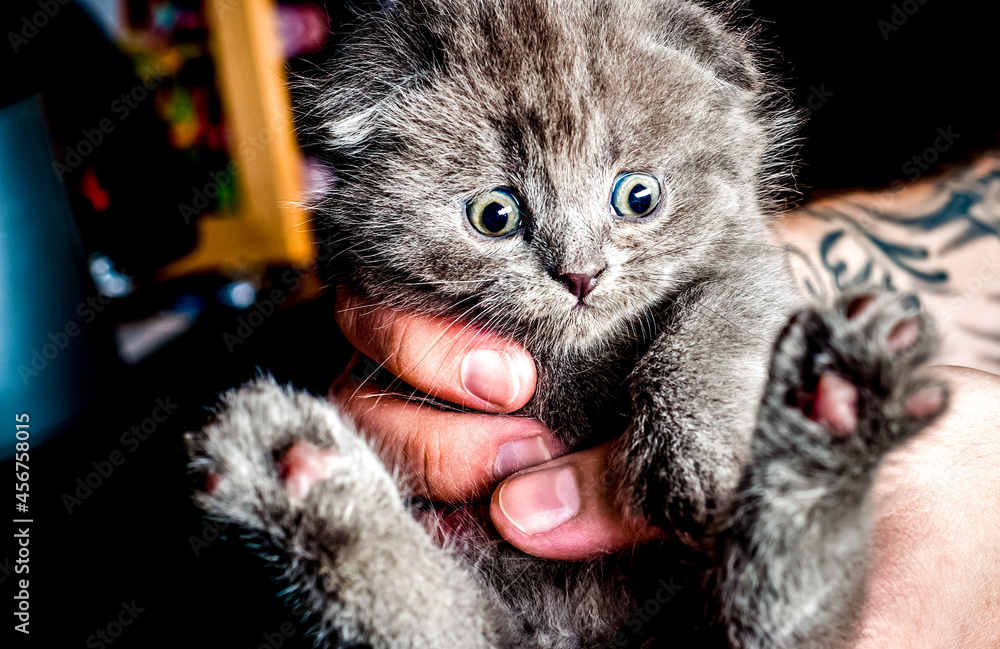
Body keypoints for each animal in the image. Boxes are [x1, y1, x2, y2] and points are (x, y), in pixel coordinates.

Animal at [186, 1, 944, 648]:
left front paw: (696, 455)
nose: (581, 274)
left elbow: (716, 319)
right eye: (495, 214)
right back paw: (296, 471)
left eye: (639, 196)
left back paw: (835, 395)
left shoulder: (752, 265)